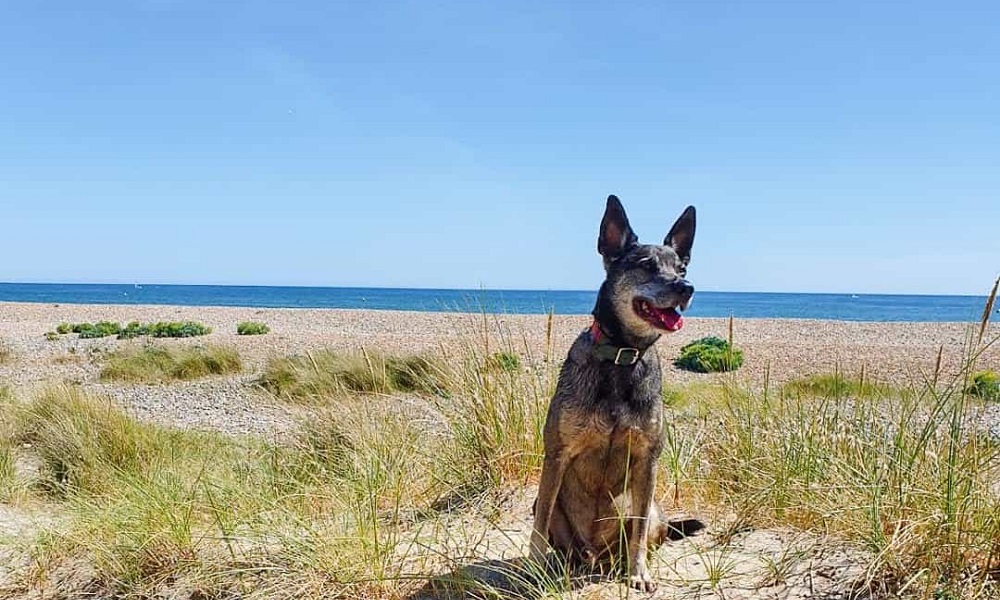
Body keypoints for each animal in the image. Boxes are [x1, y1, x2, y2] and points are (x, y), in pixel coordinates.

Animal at [528, 196, 700, 592]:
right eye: (646, 265)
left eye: (682, 267)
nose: (686, 287)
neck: (622, 355)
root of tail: (596, 555)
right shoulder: (556, 455)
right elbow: (539, 526)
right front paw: (533, 570)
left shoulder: (648, 461)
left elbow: (638, 532)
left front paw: (638, 573)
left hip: (653, 508)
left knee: (645, 532)